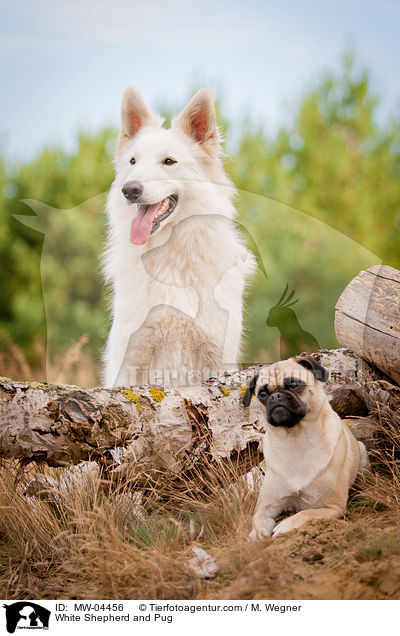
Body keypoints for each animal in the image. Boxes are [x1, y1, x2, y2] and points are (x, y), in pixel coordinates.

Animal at [103, 88, 253, 388]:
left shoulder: (215, 359)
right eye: (133, 161)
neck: (170, 256)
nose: (129, 190)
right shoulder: (131, 362)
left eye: (169, 161)